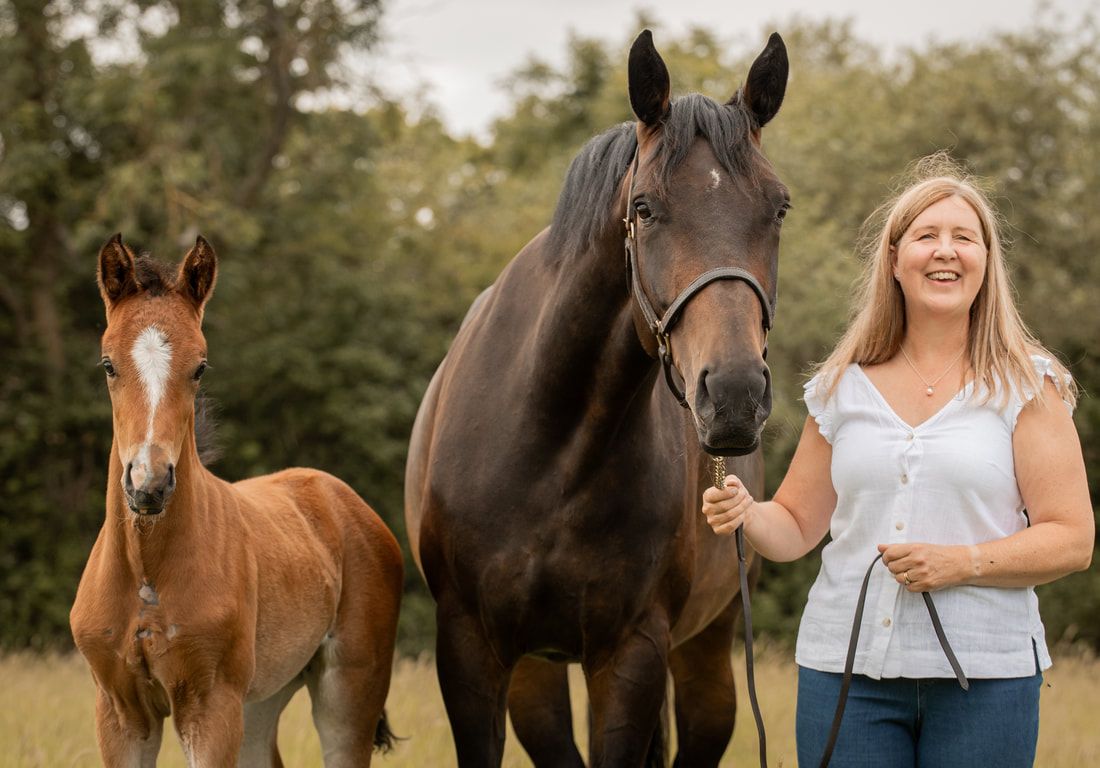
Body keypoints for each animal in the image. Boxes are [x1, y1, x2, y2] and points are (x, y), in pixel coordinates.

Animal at [70, 235, 404, 767]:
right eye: (108, 364)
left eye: (200, 367)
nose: (149, 485)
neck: (147, 574)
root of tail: (347, 500)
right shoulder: (120, 713)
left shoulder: (210, 706)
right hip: (262, 699)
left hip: (348, 690)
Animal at [404, 29, 789, 767]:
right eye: (644, 208)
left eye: (778, 208)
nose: (732, 395)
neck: (554, 454)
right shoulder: (470, 647)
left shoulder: (631, 651)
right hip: (538, 669)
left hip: (707, 647)